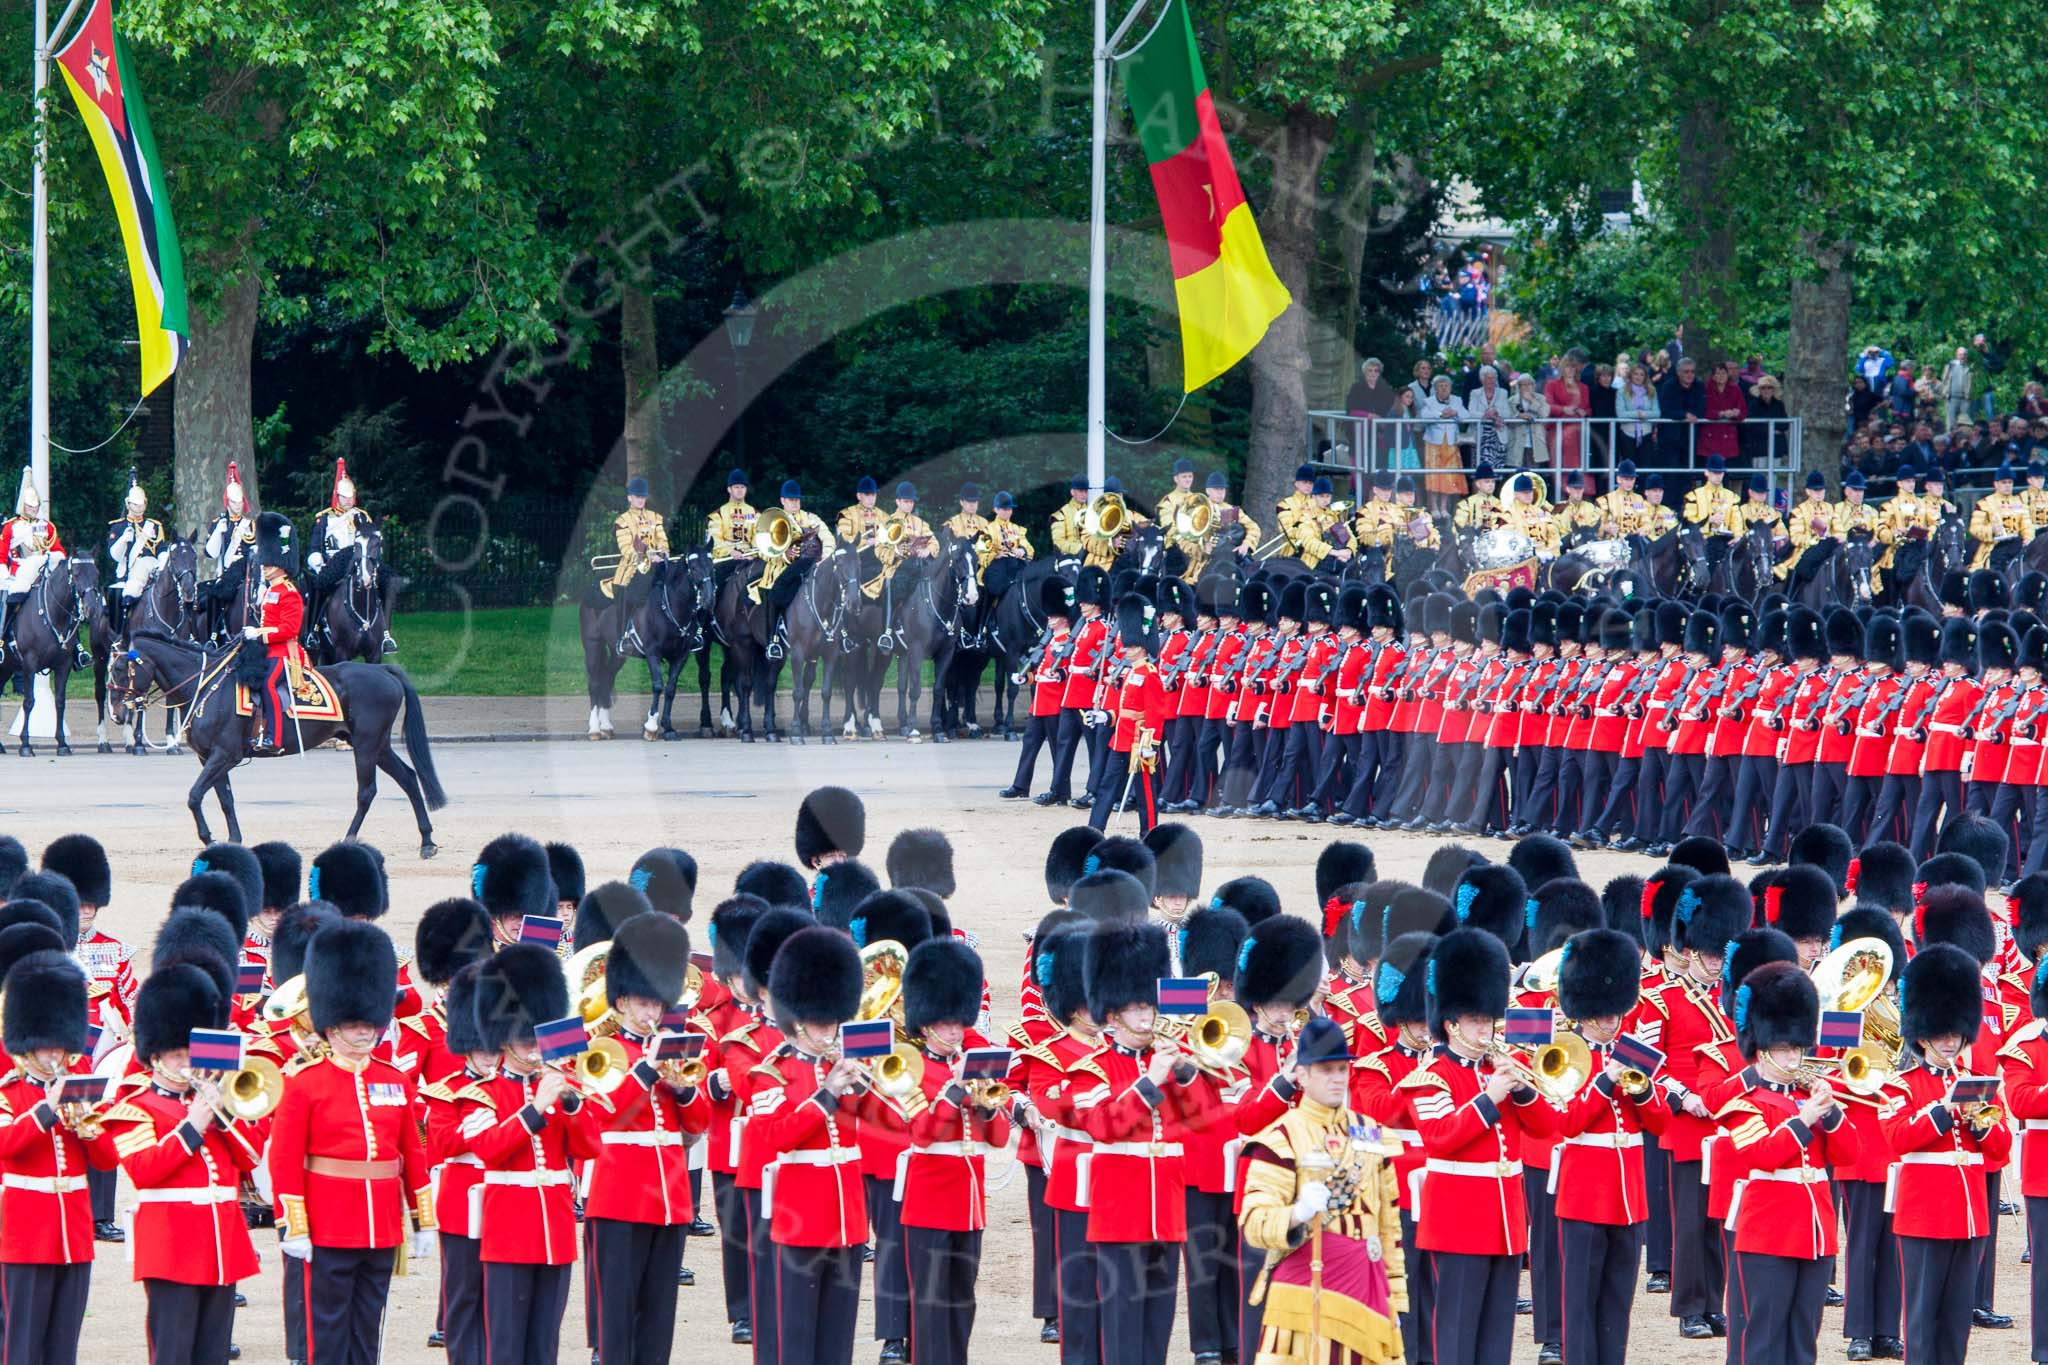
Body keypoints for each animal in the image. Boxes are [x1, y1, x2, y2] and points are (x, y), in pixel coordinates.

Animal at [110, 634, 446, 855]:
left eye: (120, 669)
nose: (116, 714)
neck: (205, 687)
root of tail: (381, 669)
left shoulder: (224, 755)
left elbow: (194, 796)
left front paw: (209, 838)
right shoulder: (210, 757)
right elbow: (225, 799)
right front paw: (233, 840)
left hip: (366, 745)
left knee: (367, 792)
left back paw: (349, 839)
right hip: (378, 746)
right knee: (409, 778)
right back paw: (427, 841)